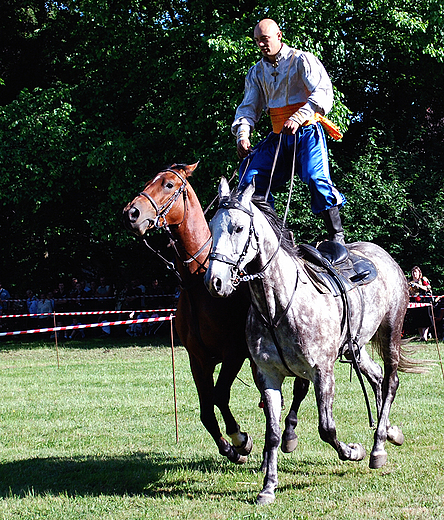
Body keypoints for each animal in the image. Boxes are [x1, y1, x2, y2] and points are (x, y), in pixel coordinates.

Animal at [205, 179, 424, 504]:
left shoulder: (322, 371)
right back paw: (388, 432)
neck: (277, 306)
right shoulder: (268, 376)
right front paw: (268, 487)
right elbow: (272, 433)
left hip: (390, 333)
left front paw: (353, 451)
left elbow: (327, 428)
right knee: (376, 377)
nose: (215, 281)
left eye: (238, 228)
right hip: (356, 347)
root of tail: (384, 256)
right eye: (212, 226)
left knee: (390, 382)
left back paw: (377, 447)